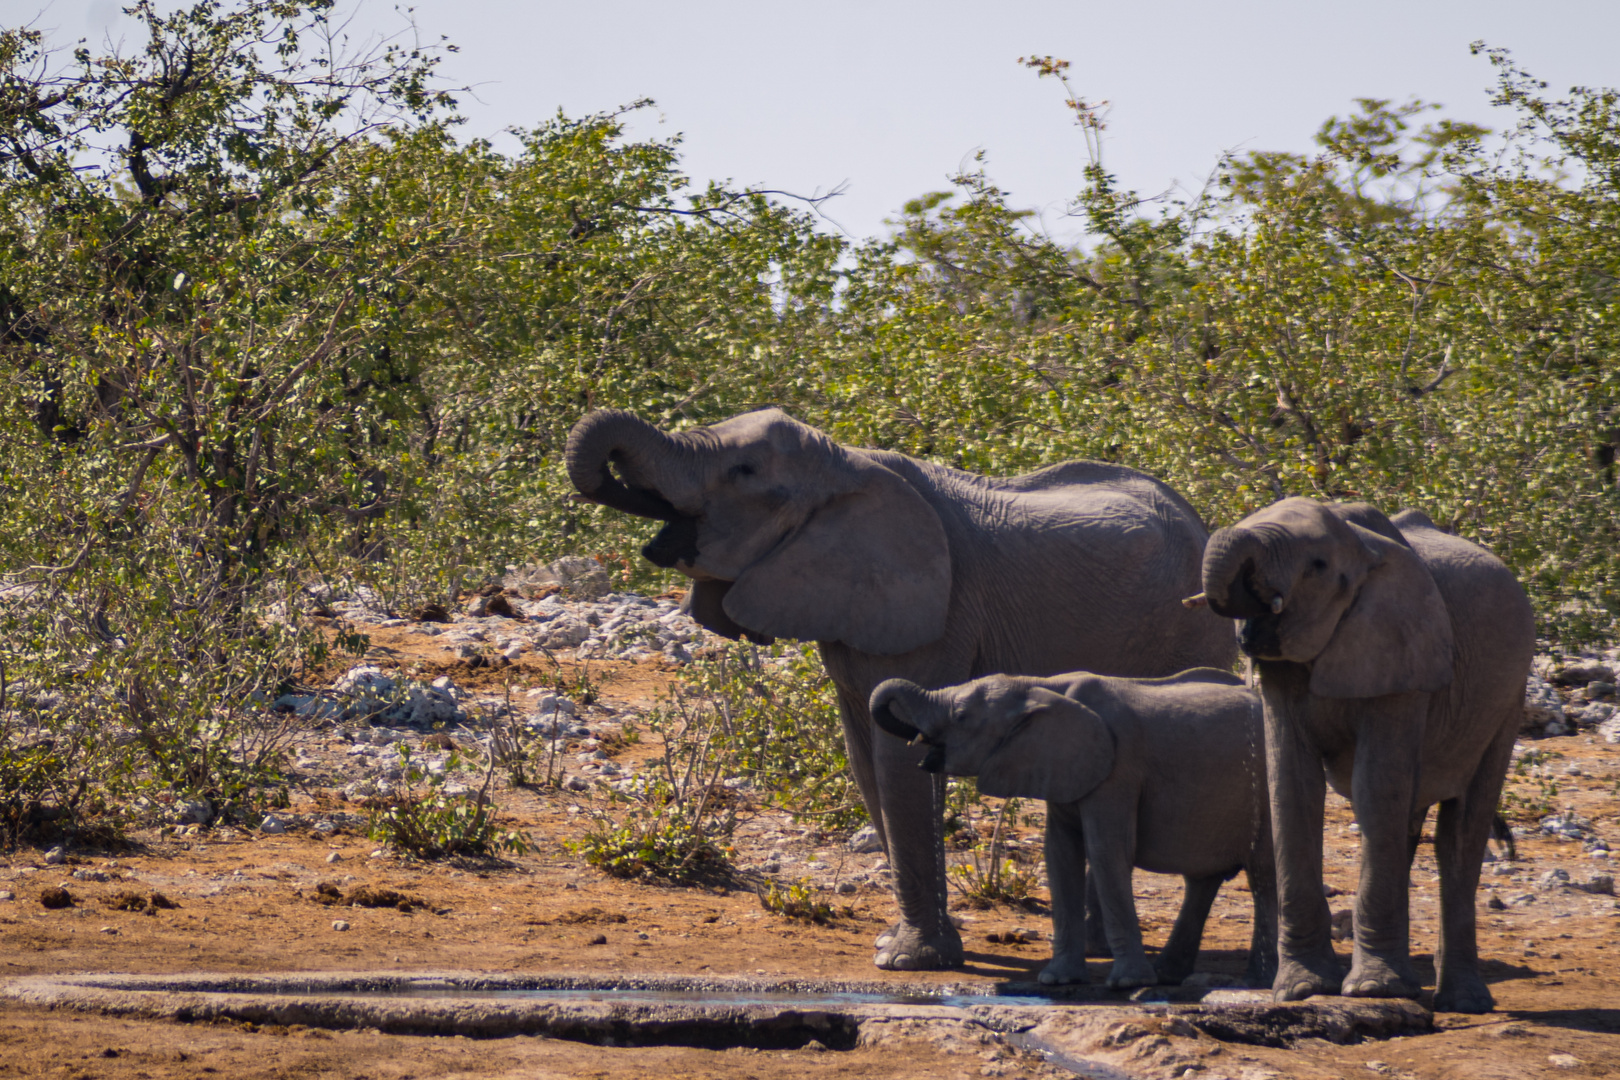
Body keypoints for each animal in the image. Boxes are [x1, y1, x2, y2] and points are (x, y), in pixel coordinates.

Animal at [563, 409, 1231, 977]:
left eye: (744, 472)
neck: (846, 464)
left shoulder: (935, 609)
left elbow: (897, 757)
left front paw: (908, 960)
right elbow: (864, 758)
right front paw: (913, 943)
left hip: (1193, 630)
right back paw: (1095, 950)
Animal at [874, 670, 1276, 990]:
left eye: (960, 716)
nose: (917, 742)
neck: (1039, 685)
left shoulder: (1118, 771)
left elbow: (1106, 850)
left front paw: (1128, 984)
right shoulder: (1063, 767)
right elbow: (1060, 853)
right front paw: (1058, 980)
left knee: (1263, 875)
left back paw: (1257, 982)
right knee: (1203, 881)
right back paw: (1168, 975)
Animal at [1205, 498, 1529, 1016]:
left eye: (1317, 566)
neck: (1360, 545)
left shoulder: (1403, 654)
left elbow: (1375, 786)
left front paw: (1374, 991)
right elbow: (1291, 785)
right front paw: (1302, 990)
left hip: (1508, 701)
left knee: (1460, 830)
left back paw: (1462, 1002)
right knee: (1411, 824)